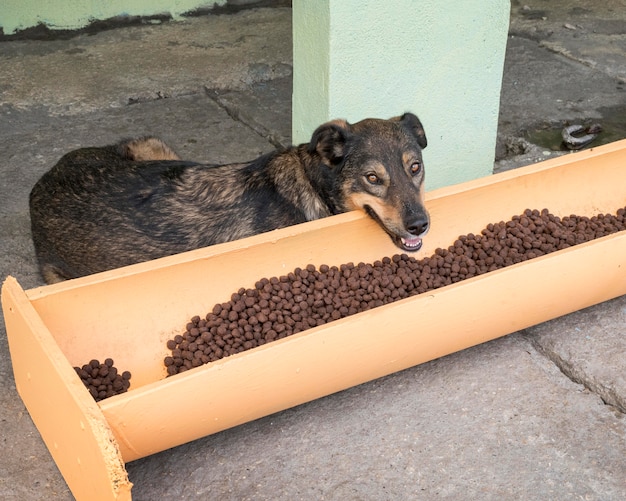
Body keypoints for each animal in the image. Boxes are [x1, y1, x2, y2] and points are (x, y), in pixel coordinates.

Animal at [29, 114, 428, 286]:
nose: (420, 225)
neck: (313, 185)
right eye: (372, 178)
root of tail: (40, 186)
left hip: (157, 148)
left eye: (416, 167)